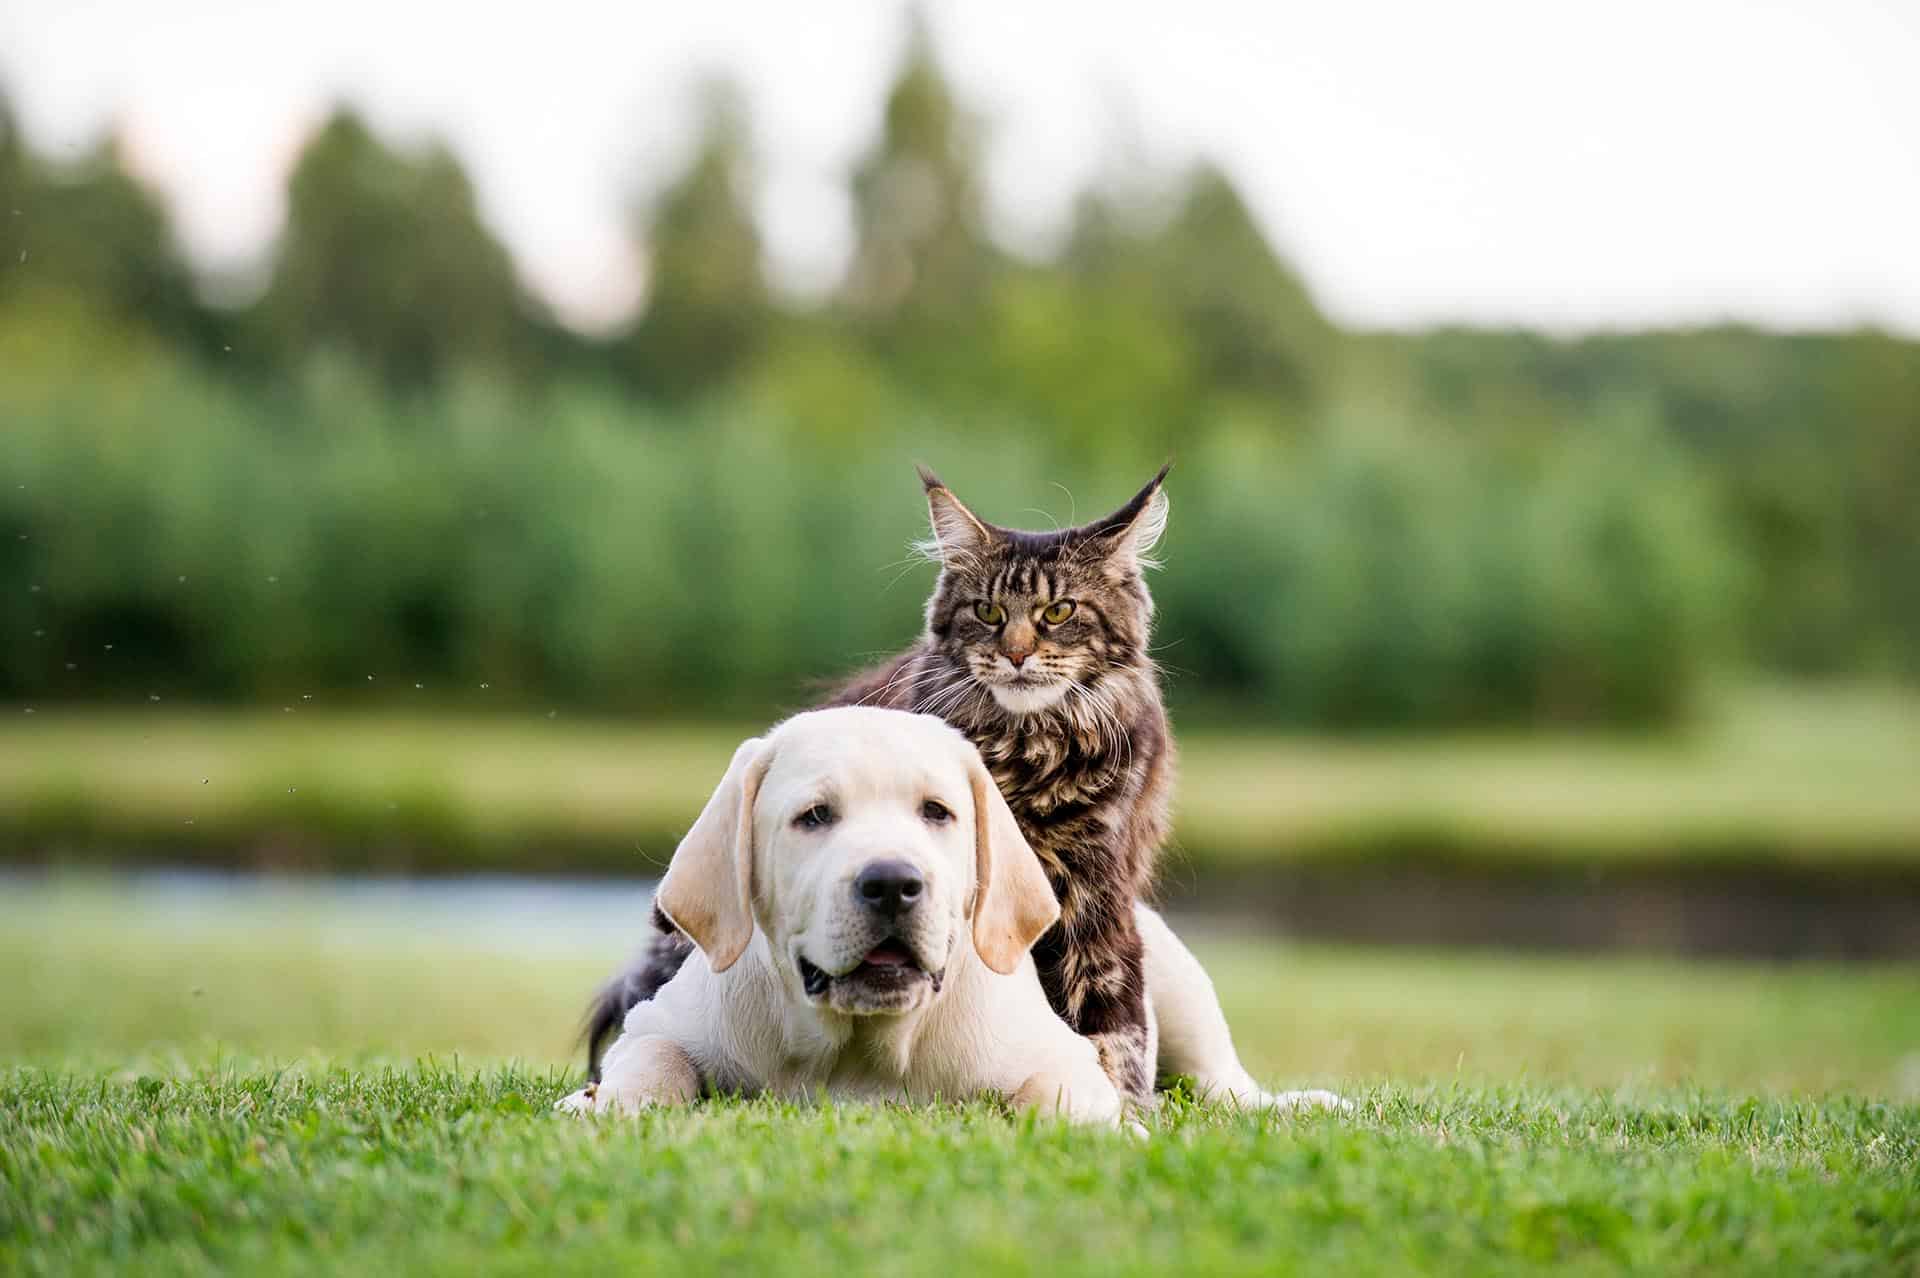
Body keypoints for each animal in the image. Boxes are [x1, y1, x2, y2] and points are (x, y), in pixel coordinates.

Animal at [560, 706, 1344, 1128]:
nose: (892, 883)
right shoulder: (657, 1023)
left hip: (1176, 987)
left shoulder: (1062, 1056)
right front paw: (603, 1103)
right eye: (814, 816)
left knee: (1225, 1086)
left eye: (937, 812)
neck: (861, 1050)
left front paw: (1108, 1131)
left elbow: (1059, 1091)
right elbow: (655, 1063)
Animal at [591, 462, 1175, 1097]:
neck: (1030, 755)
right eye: (988, 613)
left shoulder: (1098, 900)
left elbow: (1112, 1030)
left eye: (1059, 612)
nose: (1017, 655)